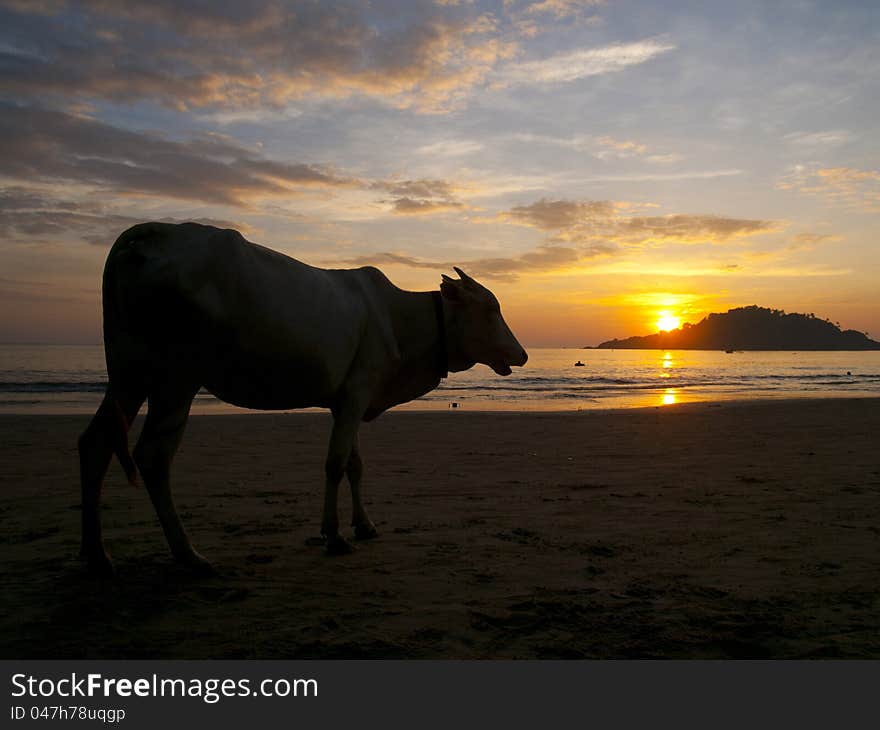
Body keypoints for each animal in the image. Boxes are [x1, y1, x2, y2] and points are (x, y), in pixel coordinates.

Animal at [79, 222, 524, 576]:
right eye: (491, 308)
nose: (522, 354)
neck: (402, 319)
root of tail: (151, 233)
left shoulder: (348, 400)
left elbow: (355, 465)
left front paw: (363, 526)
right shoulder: (357, 393)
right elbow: (334, 464)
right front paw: (334, 536)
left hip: (129, 374)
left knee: (96, 442)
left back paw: (97, 557)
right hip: (175, 378)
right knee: (153, 456)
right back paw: (188, 556)